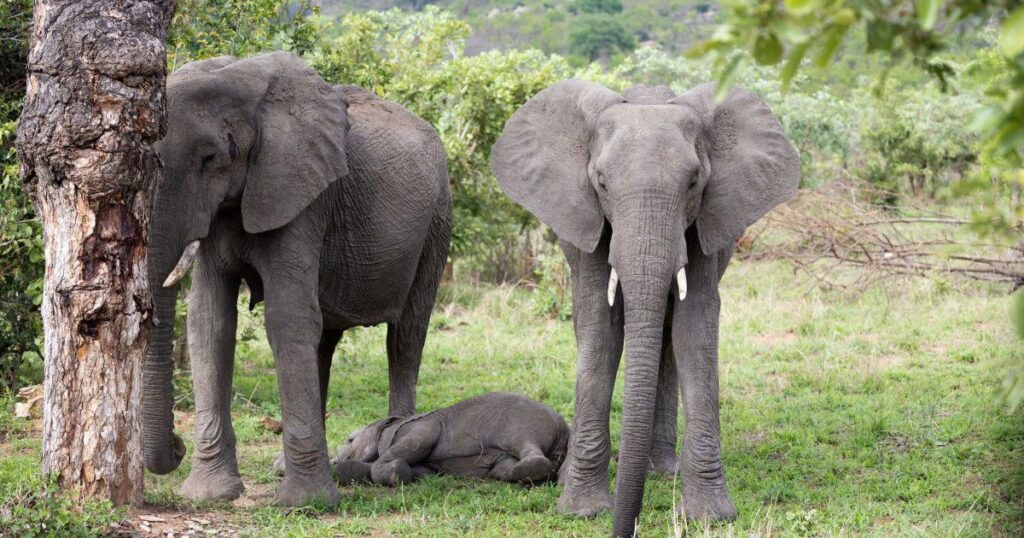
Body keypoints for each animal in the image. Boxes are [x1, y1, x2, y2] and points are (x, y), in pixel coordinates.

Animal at [142, 52, 452, 507]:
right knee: (323, 339)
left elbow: (286, 318)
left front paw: (306, 503)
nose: (177, 447)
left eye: (211, 158)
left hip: (438, 220)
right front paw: (209, 496)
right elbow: (210, 322)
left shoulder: (303, 195)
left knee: (405, 338)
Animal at [331, 392, 570, 486]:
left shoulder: (423, 426)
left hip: (522, 423)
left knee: (524, 444)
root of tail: (564, 429)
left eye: (349, 440)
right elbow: (422, 472)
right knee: (504, 467)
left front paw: (394, 473)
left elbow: (419, 442)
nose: (333, 460)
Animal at [490, 81, 800, 536]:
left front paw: (709, 517)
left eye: (694, 182)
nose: (628, 527)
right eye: (601, 183)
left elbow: (695, 332)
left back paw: (663, 471)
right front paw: (582, 510)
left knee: (667, 339)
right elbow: (602, 332)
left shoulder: (706, 222)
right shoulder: (591, 222)